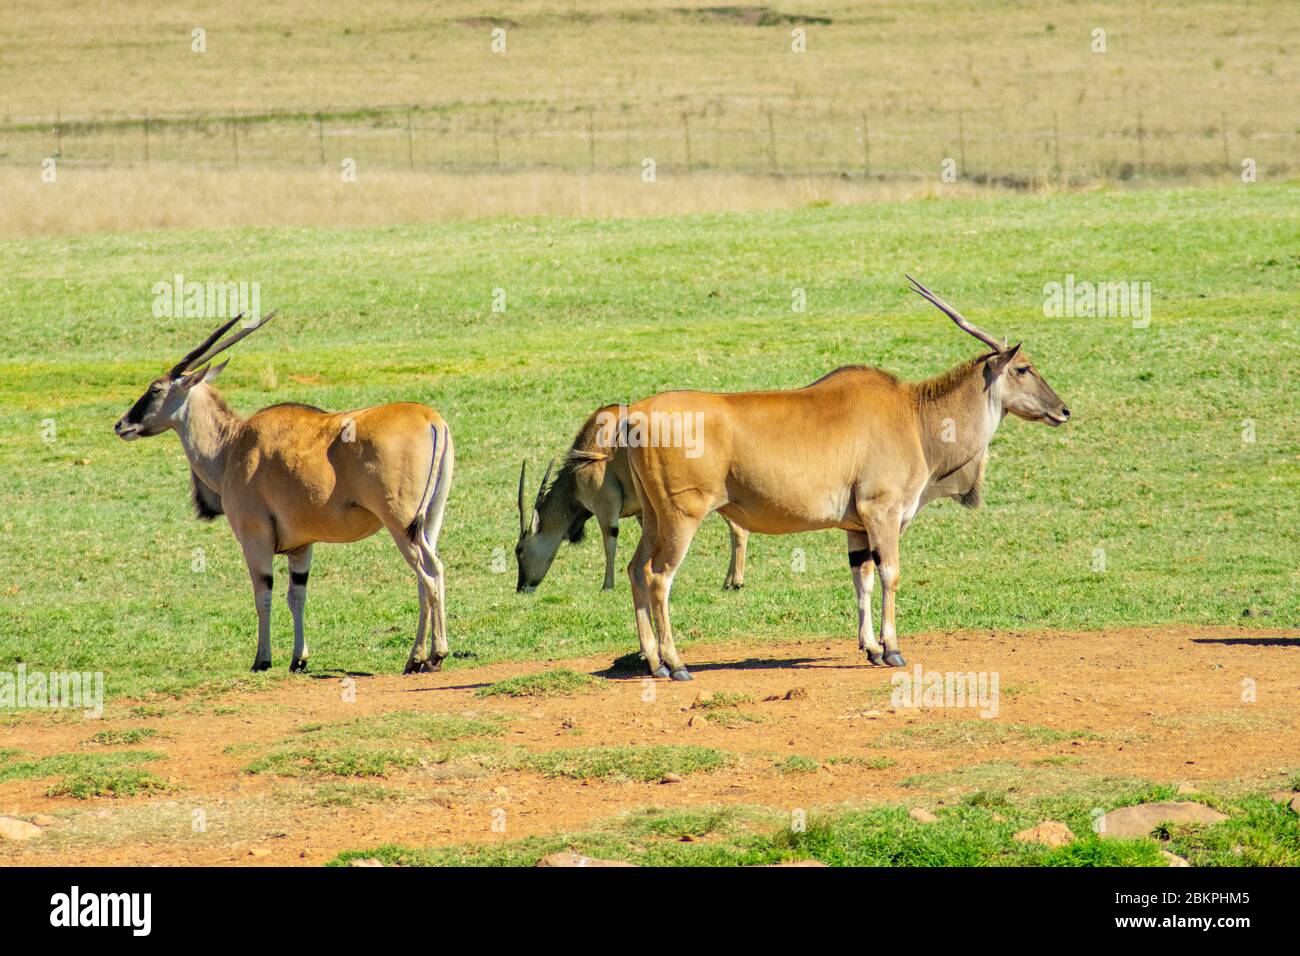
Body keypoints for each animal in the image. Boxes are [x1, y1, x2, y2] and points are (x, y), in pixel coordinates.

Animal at [113, 314, 457, 671]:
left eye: (155, 389)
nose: (121, 425)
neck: (233, 444)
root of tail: (431, 419)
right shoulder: (301, 547)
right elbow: (297, 596)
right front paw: (298, 659)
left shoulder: (255, 539)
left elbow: (262, 594)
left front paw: (262, 659)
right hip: (428, 523)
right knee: (427, 577)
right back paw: (423, 658)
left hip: (400, 525)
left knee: (430, 573)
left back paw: (428, 654)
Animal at [509, 408, 748, 595]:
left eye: (519, 550)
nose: (521, 587)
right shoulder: (643, 512)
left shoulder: (606, 509)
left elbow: (610, 542)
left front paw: (607, 586)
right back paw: (731, 581)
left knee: (738, 528)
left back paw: (735, 582)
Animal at [624, 277, 1071, 681]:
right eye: (1024, 368)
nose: (1063, 410)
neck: (915, 417)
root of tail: (637, 415)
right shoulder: (882, 514)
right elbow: (890, 574)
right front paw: (893, 649)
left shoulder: (857, 527)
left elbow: (863, 579)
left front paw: (871, 648)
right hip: (682, 517)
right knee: (659, 577)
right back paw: (677, 664)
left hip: (653, 518)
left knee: (635, 569)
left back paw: (654, 661)